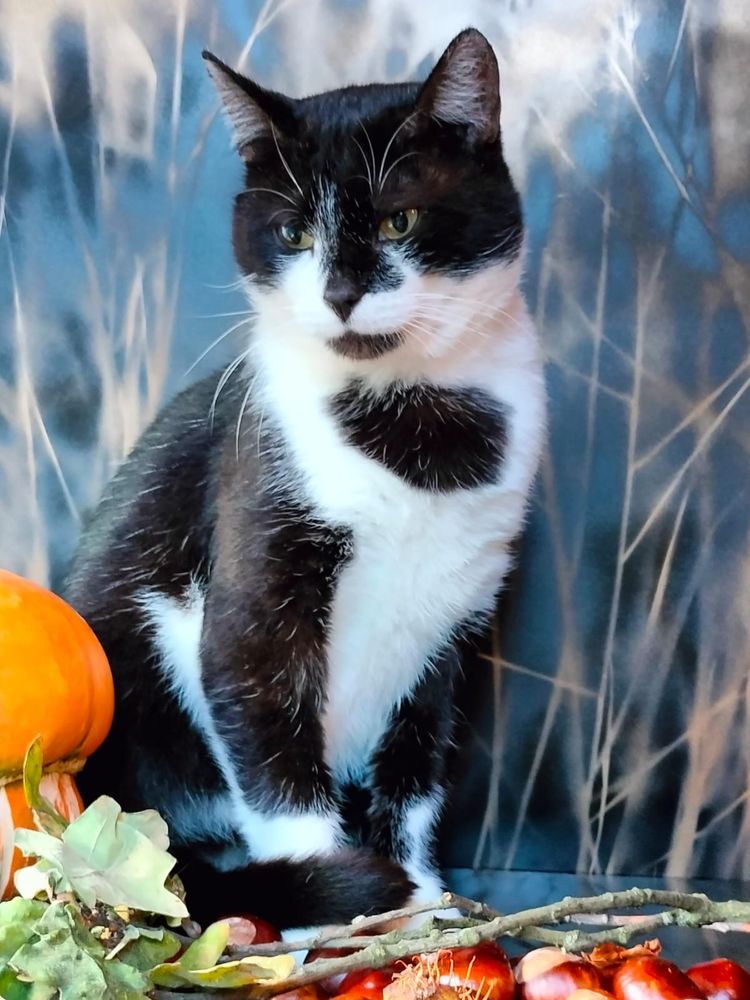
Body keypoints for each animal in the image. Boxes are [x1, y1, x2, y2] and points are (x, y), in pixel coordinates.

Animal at [64, 31, 548, 932]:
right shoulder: (256, 564)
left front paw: (415, 902)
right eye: (291, 232)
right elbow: (274, 754)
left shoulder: (450, 623)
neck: (415, 422)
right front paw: (336, 901)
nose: (340, 292)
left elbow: (414, 773)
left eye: (400, 217)